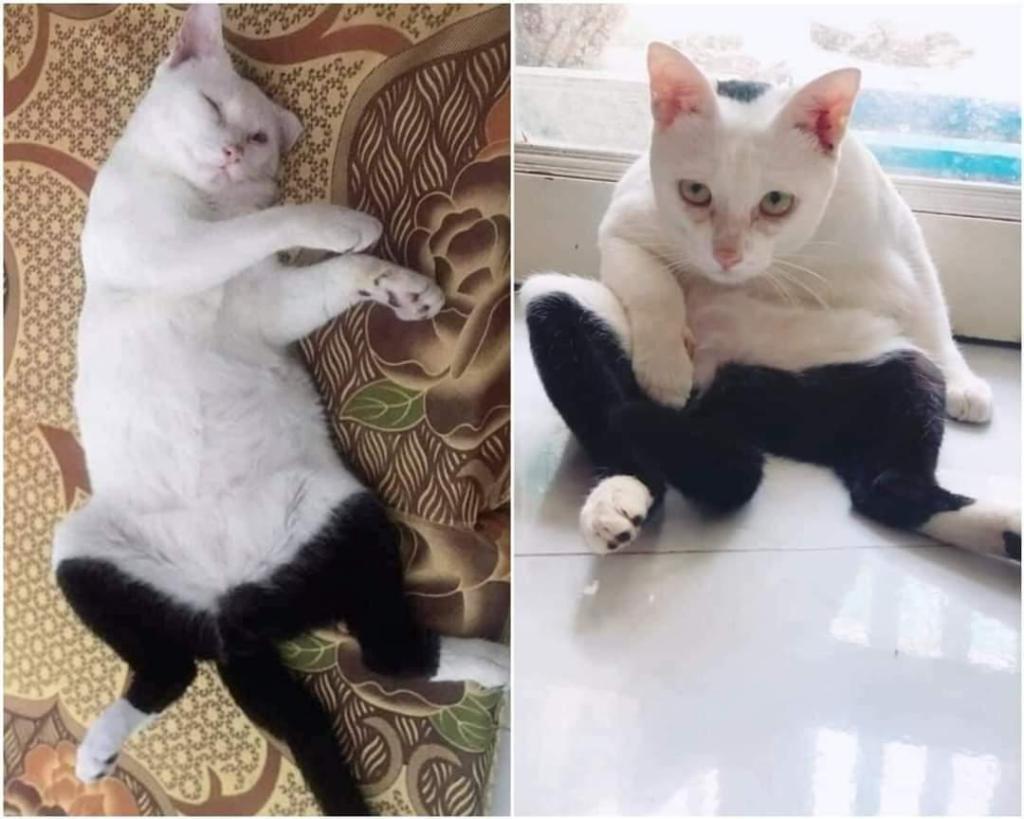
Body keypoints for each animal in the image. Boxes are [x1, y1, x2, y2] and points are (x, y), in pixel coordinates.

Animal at [51, 4, 507, 810]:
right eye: (212, 106)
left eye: (259, 137)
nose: (236, 151)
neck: (203, 201)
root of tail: (231, 608)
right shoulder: (162, 247)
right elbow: (266, 224)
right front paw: (343, 224)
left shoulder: (268, 305)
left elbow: (322, 277)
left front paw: (399, 287)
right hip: (79, 549)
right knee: (185, 668)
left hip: (343, 515)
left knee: (383, 651)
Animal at [524, 39, 1019, 565]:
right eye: (695, 191)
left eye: (777, 201)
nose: (726, 255)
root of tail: (730, 406)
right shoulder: (625, 218)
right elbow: (647, 278)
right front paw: (665, 364)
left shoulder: (890, 227)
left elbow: (927, 301)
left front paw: (964, 381)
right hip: (552, 304)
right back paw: (619, 499)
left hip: (894, 371)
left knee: (886, 481)